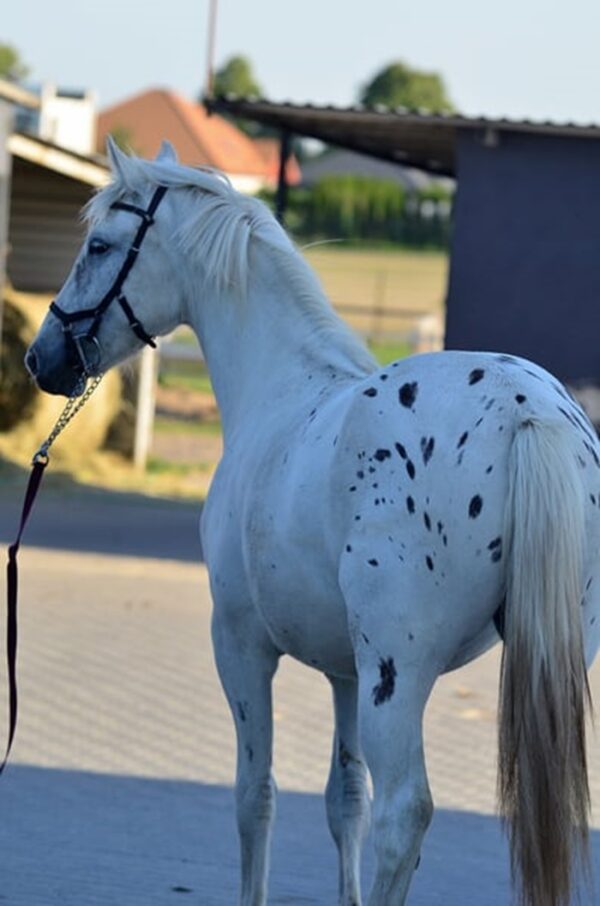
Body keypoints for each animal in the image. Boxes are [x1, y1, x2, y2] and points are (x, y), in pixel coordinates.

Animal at [25, 138, 600, 906]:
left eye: (98, 244)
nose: (41, 357)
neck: (281, 388)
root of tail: (528, 409)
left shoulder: (241, 645)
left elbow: (256, 795)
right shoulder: (345, 673)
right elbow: (343, 801)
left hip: (399, 675)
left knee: (404, 812)